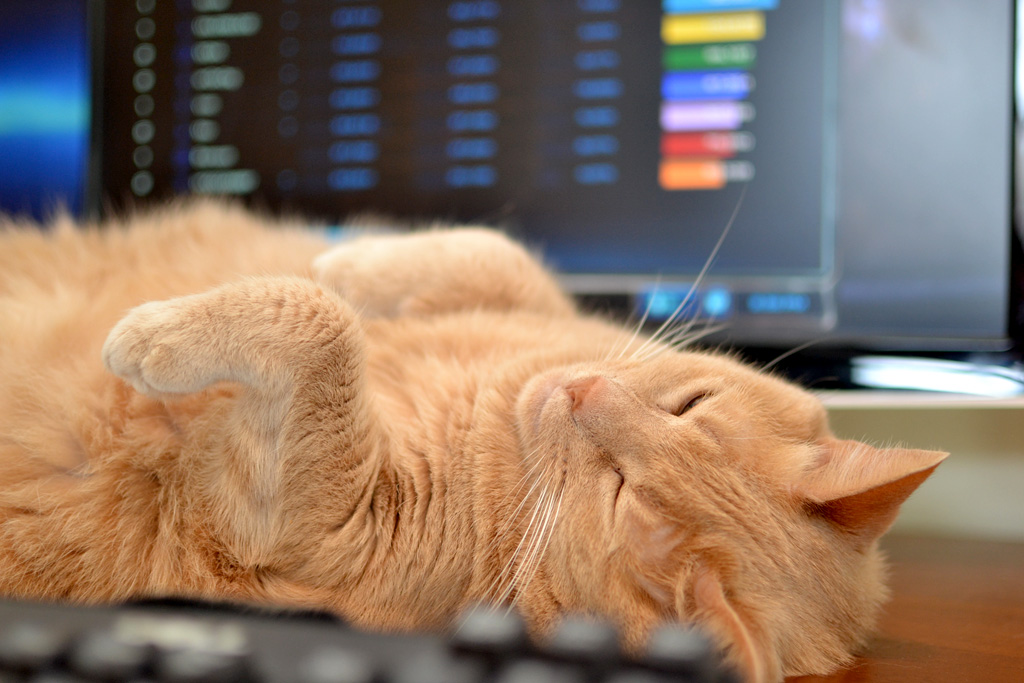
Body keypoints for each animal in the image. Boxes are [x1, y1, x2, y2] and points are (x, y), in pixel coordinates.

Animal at [0, 200, 946, 682]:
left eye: (622, 488)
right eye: (689, 404)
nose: (582, 394)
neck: (499, 403)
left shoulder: (312, 524)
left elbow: (323, 324)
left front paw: (150, 333)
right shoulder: (545, 313)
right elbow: (491, 255)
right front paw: (352, 257)